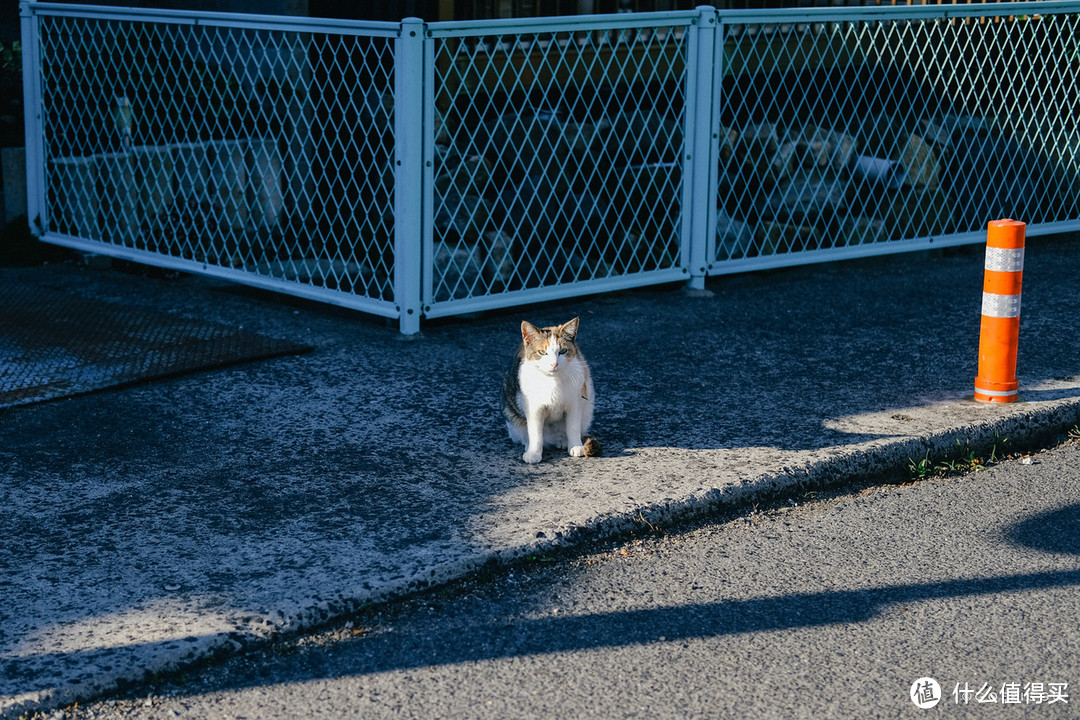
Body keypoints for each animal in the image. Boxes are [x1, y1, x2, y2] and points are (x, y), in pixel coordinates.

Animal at [498, 317, 600, 464]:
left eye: (563, 351)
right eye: (542, 352)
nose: (554, 364)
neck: (553, 380)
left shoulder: (575, 403)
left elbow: (573, 427)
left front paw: (575, 445)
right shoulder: (534, 408)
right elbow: (535, 432)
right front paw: (534, 453)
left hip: (587, 408)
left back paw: (563, 440)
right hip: (513, 420)